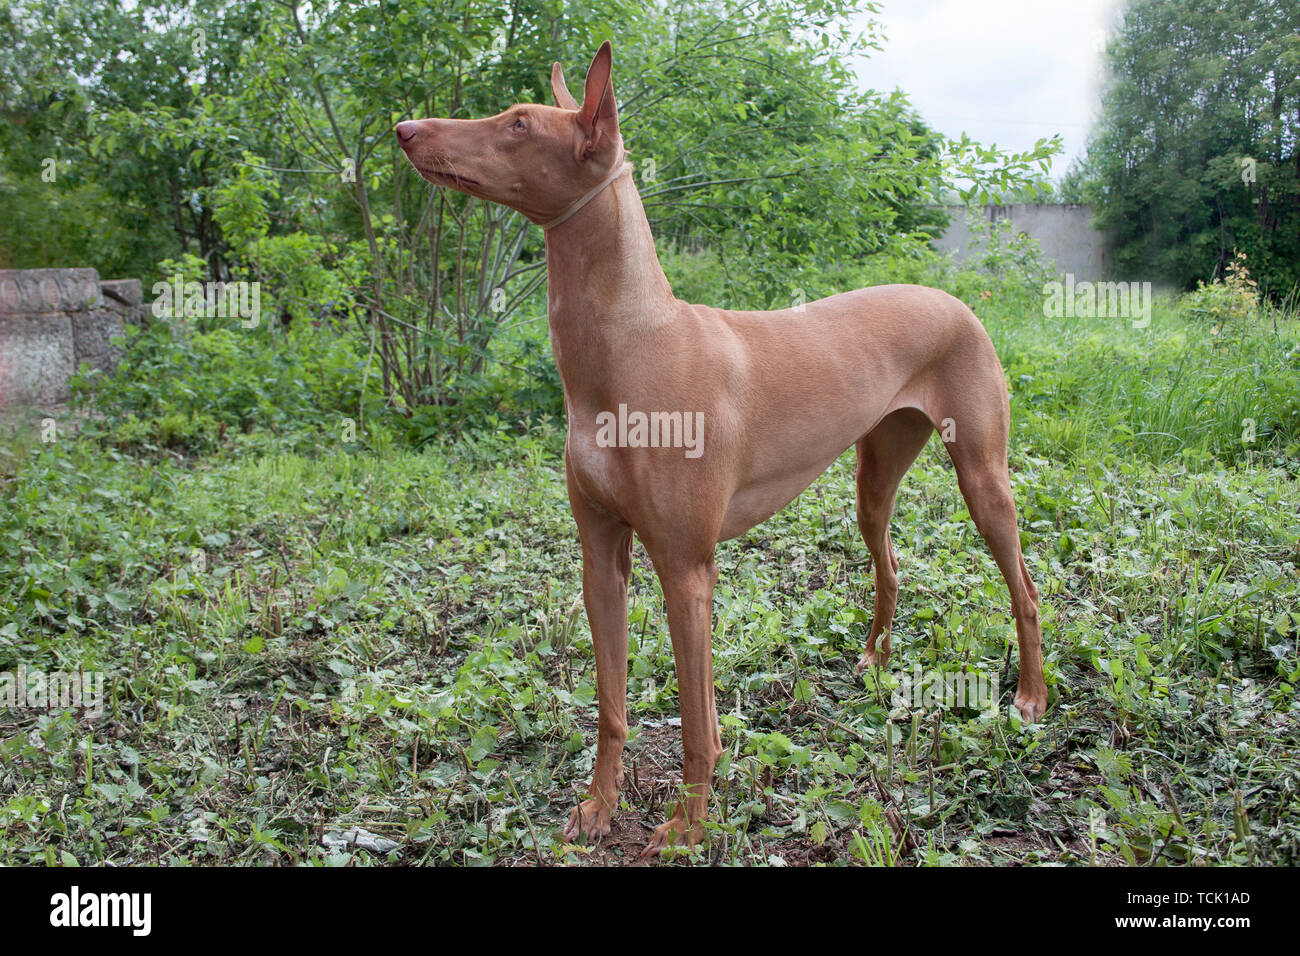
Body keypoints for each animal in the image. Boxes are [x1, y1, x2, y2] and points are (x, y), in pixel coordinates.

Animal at [395, 41, 1045, 858]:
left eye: (516, 124)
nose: (404, 128)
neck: (632, 345)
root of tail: (955, 300)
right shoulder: (601, 558)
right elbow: (611, 705)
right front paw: (599, 807)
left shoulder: (686, 570)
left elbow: (699, 727)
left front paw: (687, 827)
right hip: (872, 483)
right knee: (891, 566)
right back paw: (873, 660)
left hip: (985, 481)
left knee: (1026, 591)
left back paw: (1030, 697)